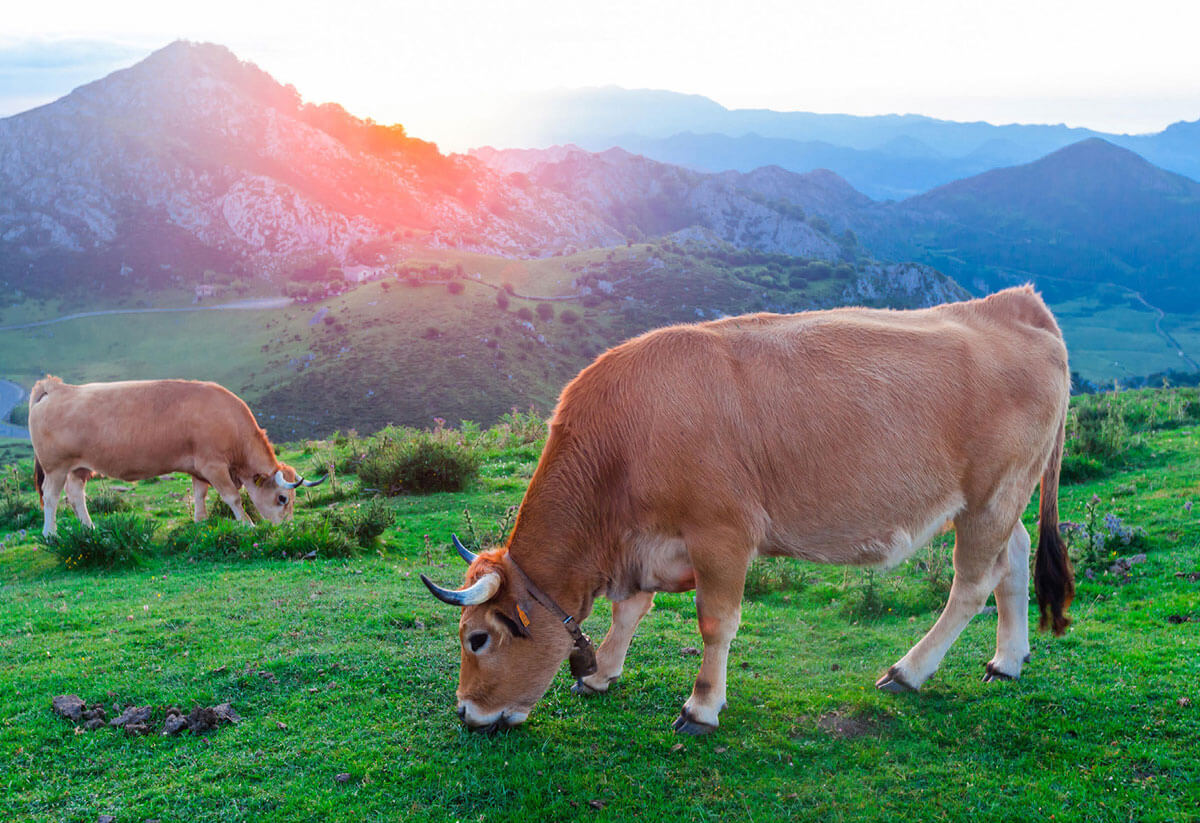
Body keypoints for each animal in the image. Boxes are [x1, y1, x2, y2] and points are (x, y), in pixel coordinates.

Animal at [29, 376, 323, 537]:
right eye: (282, 498)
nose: (287, 528)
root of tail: (56, 388)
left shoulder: (199, 469)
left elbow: (200, 496)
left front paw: (200, 523)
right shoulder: (214, 466)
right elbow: (233, 497)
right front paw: (248, 525)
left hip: (78, 468)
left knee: (76, 495)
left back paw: (90, 529)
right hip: (55, 467)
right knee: (52, 498)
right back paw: (50, 534)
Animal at [421, 286, 1074, 734]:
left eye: (476, 639)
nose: (465, 712)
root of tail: (1013, 303)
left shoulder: (722, 534)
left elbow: (716, 623)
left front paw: (702, 706)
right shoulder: (645, 545)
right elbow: (629, 611)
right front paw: (602, 673)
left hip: (992, 492)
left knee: (973, 582)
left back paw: (909, 672)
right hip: (1004, 496)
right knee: (1014, 557)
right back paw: (1007, 661)